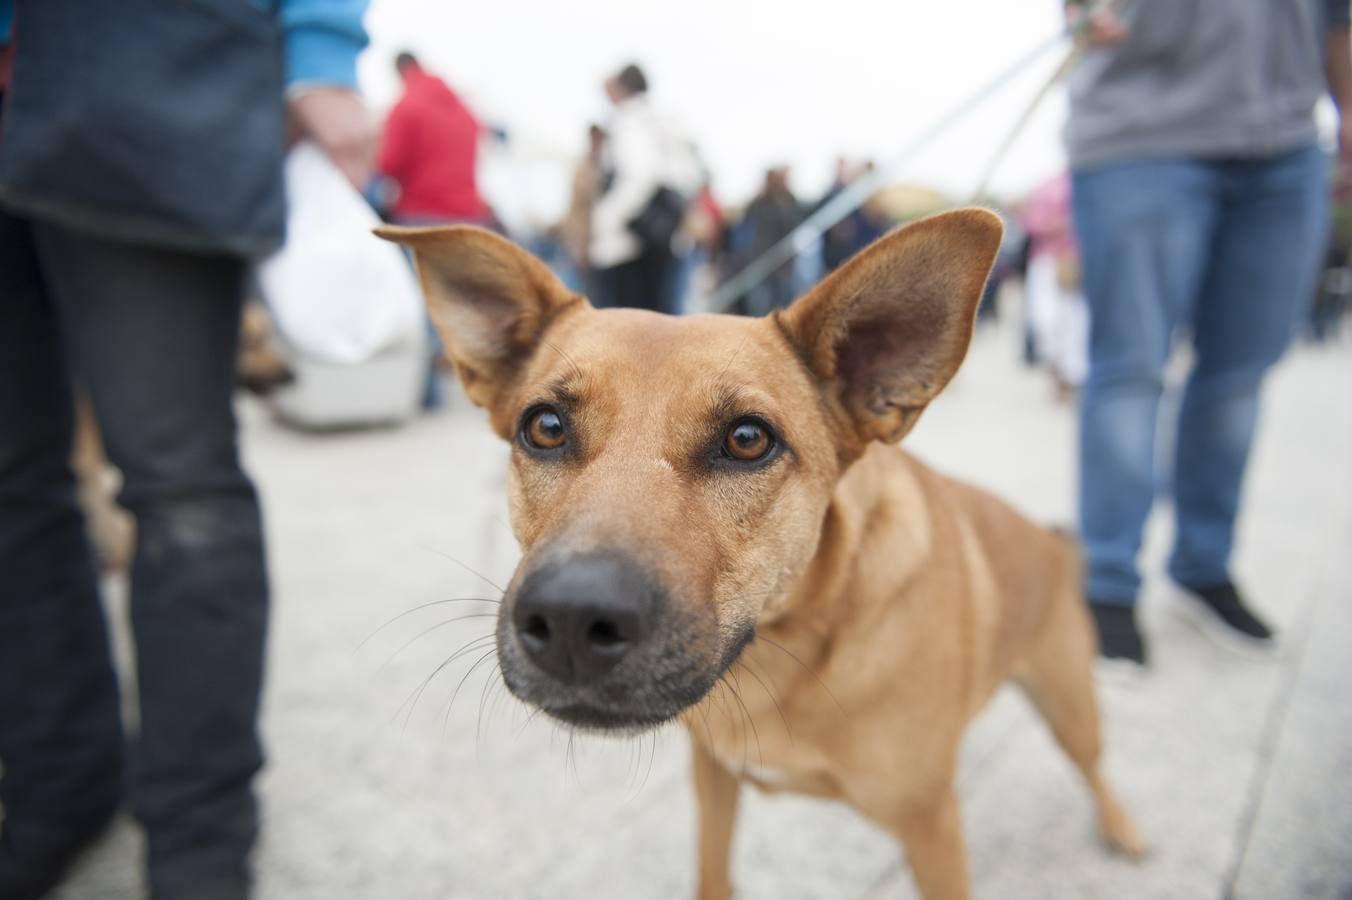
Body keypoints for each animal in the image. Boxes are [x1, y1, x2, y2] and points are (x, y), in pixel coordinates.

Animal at [378, 210, 1141, 897]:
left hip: (1069, 702)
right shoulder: (714, 776)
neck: (784, 652)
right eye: (544, 427)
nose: (570, 621)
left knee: (1095, 764)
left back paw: (1123, 828)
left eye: (748, 440)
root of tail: (1049, 539)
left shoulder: (932, 828)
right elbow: (713, 872)